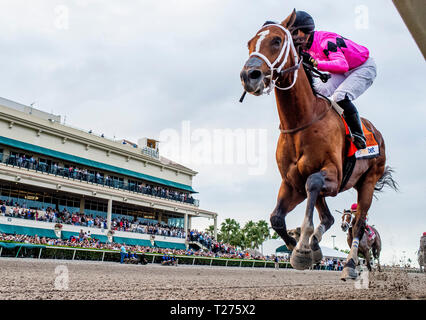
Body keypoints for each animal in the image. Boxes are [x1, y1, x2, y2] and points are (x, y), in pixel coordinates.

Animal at [240, 10, 396, 280]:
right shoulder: (292, 182)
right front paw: (301, 247)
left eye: (277, 41)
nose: (249, 76)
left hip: (367, 182)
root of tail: (377, 133)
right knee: (328, 217)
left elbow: (313, 185)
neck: (302, 121)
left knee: (358, 225)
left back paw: (350, 264)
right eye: (250, 43)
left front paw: (303, 248)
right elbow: (276, 218)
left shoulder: (332, 175)